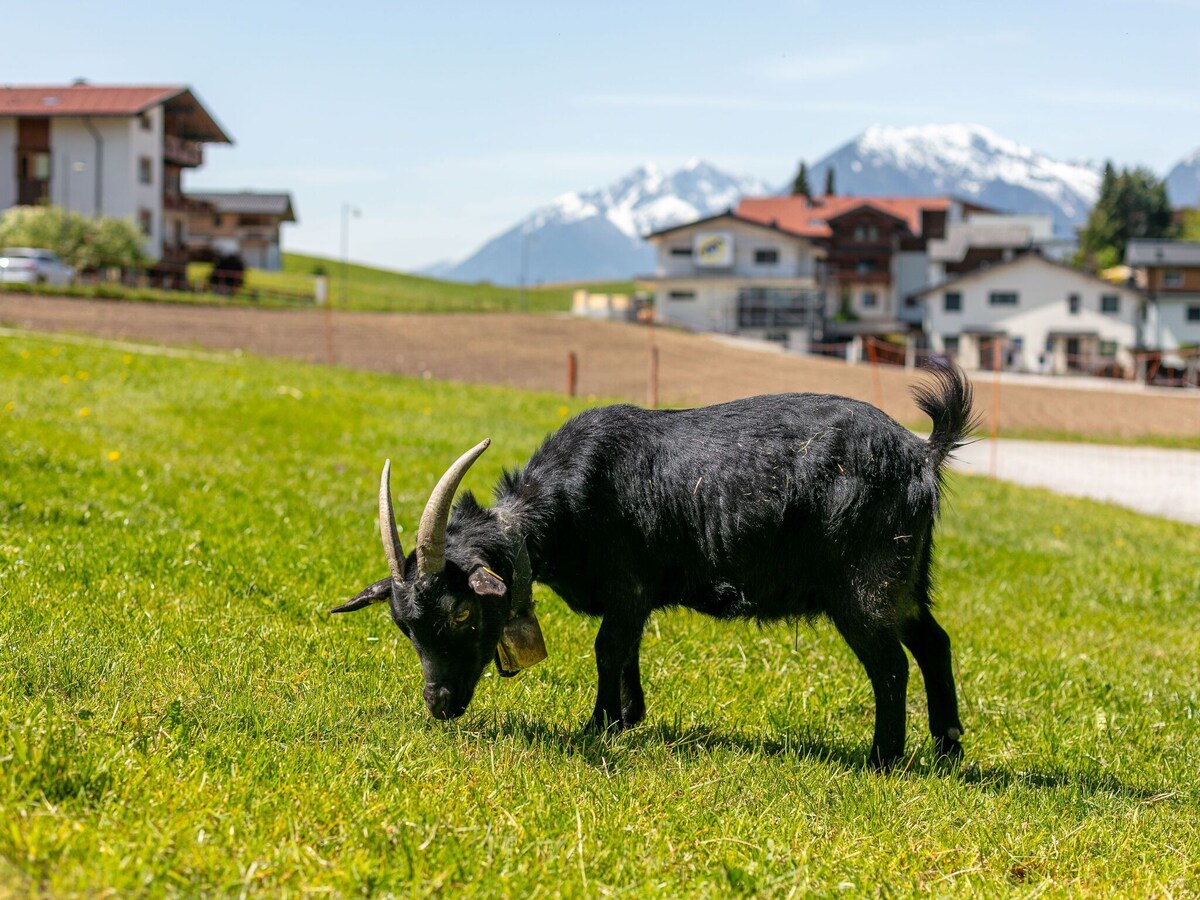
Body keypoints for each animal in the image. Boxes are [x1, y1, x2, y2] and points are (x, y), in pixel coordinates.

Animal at [336, 364, 974, 768]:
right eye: (403, 626)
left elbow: (606, 648)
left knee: (891, 664)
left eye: (463, 613)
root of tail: (922, 453)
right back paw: (947, 750)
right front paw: (629, 717)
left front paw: (599, 726)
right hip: (906, 578)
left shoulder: (627, 586)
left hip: (865, 584)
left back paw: (882, 759)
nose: (440, 706)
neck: (564, 504)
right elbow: (626, 651)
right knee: (934, 642)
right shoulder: (635, 597)